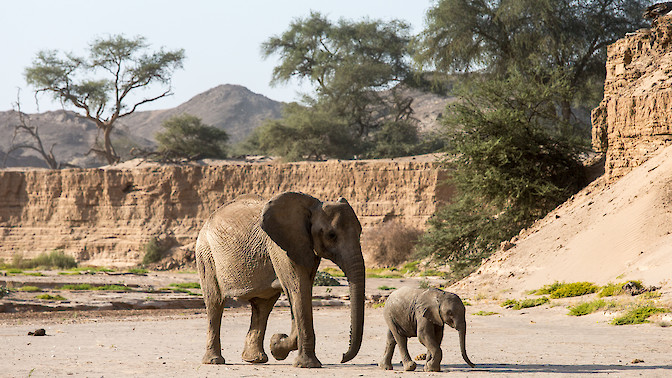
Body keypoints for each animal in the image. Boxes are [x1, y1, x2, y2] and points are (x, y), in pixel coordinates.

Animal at [194, 190, 364, 368]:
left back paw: (255, 359)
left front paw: (277, 346)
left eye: (360, 232)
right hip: (206, 255)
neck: (311, 207)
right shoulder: (279, 247)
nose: (343, 356)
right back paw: (214, 361)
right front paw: (296, 358)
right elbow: (298, 289)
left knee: (263, 305)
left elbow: (301, 292)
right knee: (215, 302)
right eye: (332, 235)